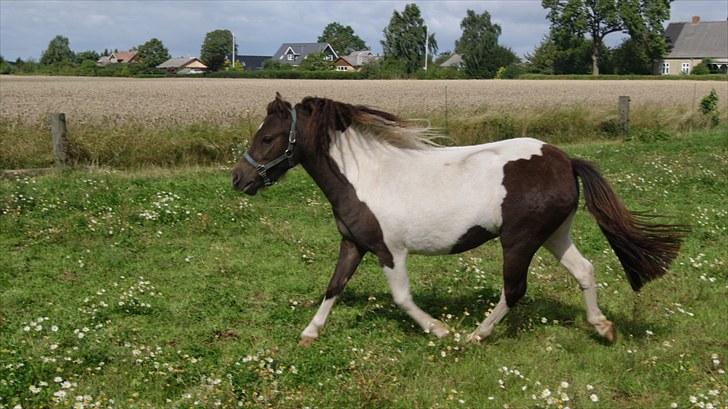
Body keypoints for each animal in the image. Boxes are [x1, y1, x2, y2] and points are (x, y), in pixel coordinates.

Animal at [232, 93, 684, 344]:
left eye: (268, 137)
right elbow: (334, 287)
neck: (363, 176)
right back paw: (603, 328)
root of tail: (564, 160)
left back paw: (476, 335)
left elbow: (402, 298)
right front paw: (309, 334)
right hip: (555, 234)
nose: (239, 178)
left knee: (514, 290)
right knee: (585, 270)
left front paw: (439, 330)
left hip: (519, 241)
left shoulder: (390, 250)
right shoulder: (354, 244)